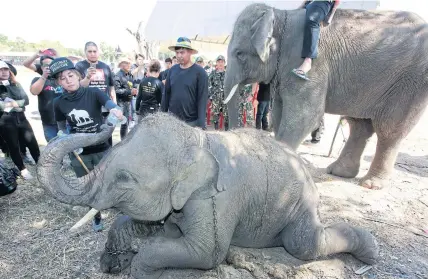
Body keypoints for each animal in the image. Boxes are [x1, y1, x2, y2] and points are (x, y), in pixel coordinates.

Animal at [36, 113, 378, 278]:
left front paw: (144, 272)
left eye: (125, 179)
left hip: (298, 204)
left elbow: (206, 253)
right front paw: (112, 264)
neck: (197, 139)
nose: (110, 121)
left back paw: (371, 252)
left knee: (304, 244)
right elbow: (152, 226)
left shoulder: (215, 200)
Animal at [222, 3, 428, 190]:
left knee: (389, 130)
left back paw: (371, 184)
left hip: (410, 83)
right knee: (359, 126)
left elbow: (305, 117)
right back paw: (338, 172)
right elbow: (280, 113)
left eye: (240, 54)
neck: (280, 15)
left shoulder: (308, 65)